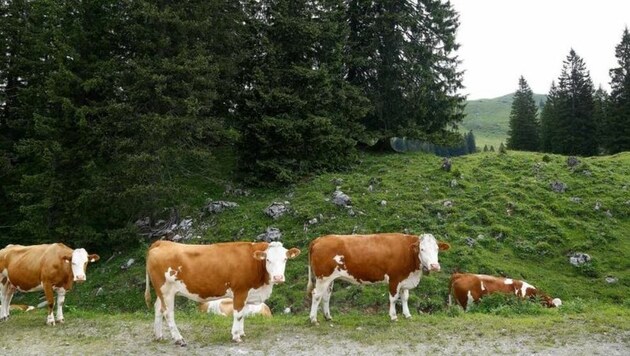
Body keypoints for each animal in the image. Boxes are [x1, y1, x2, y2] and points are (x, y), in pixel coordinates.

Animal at [145, 239, 302, 344]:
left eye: (285, 259)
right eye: (268, 260)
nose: (278, 277)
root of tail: (162, 242)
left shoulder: (247, 294)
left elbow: (243, 313)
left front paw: (241, 333)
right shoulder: (240, 291)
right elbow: (238, 314)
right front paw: (236, 336)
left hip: (161, 291)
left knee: (158, 308)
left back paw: (158, 336)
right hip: (166, 290)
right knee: (168, 313)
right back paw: (178, 339)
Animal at [306, 232, 450, 324]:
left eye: (437, 249)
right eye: (422, 249)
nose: (434, 266)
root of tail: (319, 239)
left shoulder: (405, 279)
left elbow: (405, 298)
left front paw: (407, 315)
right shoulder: (394, 279)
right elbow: (393, 299)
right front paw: (393, 316)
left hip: (329, 279)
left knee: (326, 297)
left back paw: (328, 317)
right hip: (322, 278)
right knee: (316, 295)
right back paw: (313, 319)